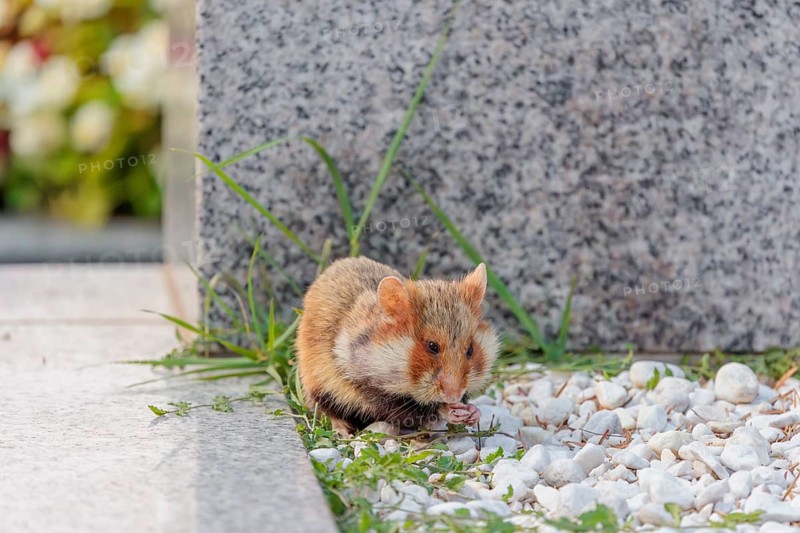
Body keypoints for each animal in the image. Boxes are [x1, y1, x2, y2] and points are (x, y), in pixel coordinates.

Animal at [296, 256, 499, 436]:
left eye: (470, 349)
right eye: (432, 346)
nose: (453, 397)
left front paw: (473, 412)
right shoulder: (366, 387)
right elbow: (414, 410)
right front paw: (452, 411)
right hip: (318, 385)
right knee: (327, 410)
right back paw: (343, 433)